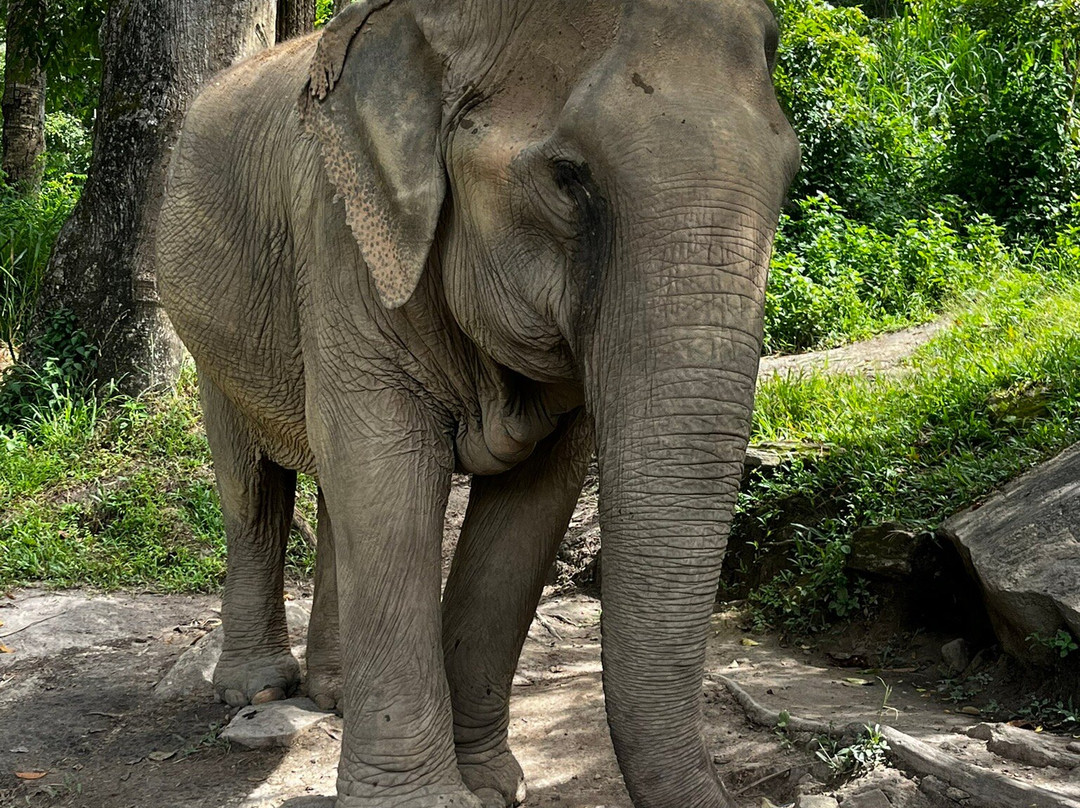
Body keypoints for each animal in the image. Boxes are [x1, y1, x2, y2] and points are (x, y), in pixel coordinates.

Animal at [155, 0, 799, 806]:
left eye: (791, 174)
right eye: (567, 178)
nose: (763, 790)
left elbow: (526, 509)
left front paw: (491, 788)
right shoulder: (339, 237)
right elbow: (387, 470)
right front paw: (429, 799)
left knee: (332, 488)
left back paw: (335, 697)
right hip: (207, 323)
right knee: (252, 487)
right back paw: (258, 691)